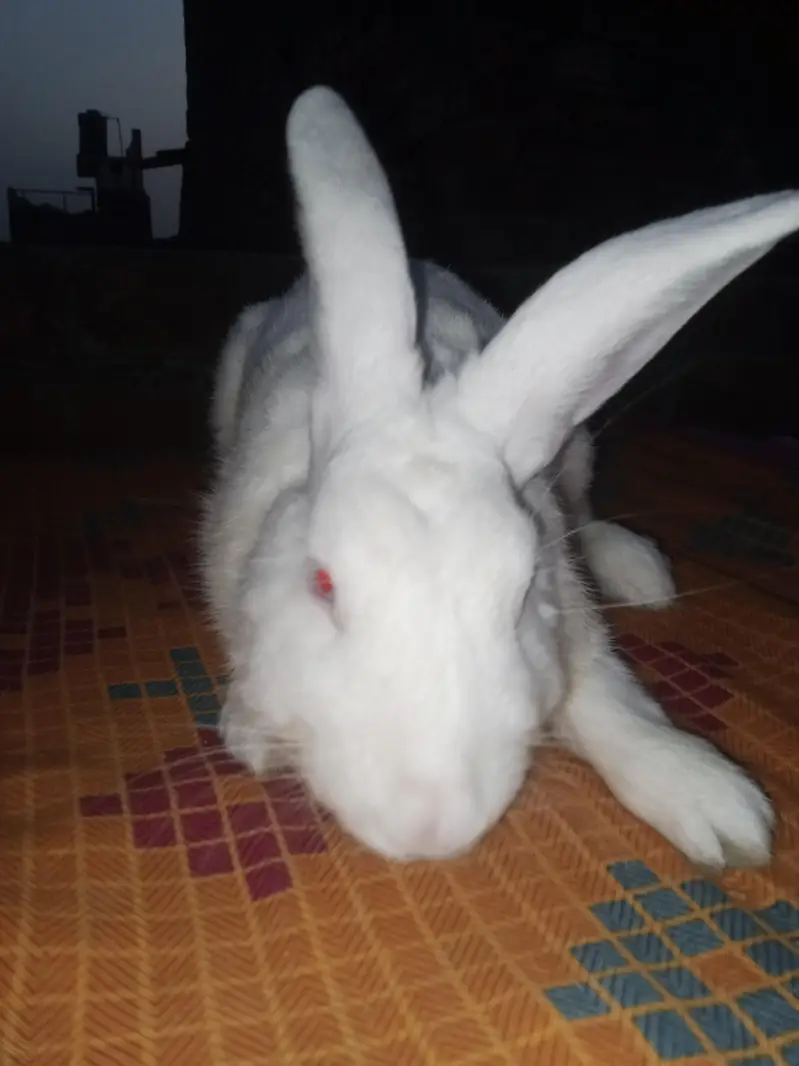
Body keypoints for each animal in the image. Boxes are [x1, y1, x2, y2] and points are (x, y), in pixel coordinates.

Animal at [199, 85, 799, 865]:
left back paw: (637, 570)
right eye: (321, 584)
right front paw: (253, 735)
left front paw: (717, 807)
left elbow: (606, 698)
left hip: (572, 445)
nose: (429, 828)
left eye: (519, 595)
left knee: (586, 513)